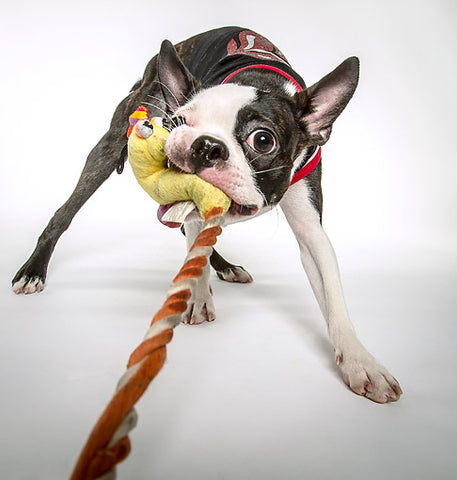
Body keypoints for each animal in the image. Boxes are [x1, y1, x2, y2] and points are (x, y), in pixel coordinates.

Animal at [11, 25, 402, 402]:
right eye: (180, 122)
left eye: (263, 140)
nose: (205, 145)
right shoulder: (191, 205)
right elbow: (195, 247)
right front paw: (198, 297)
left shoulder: (311, 230)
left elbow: (333, 296)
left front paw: (362, 363)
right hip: (111, 144)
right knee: (65, 213)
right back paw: (33, 270)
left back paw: (226, 267)